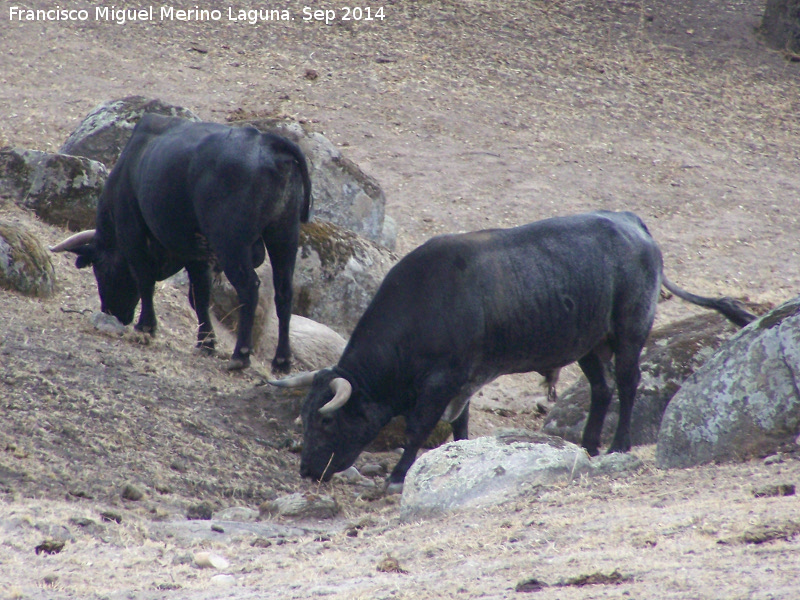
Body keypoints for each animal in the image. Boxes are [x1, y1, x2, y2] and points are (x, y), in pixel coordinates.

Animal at [50, 112, 310, 370]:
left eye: (101, 271)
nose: (110, 312)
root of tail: (268, 141)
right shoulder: (196, 254)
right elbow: (200, 297)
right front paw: (206, 342)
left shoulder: (132, 236)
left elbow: (145, 281)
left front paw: (146, 326)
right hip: (284, 237)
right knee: (284, 293)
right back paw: (282, 360)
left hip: (231, 245)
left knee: (248, 288)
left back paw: (241, 354)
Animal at [272, 211, 752, 492]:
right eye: (305, 417)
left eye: (326, 421)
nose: (308, 470)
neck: (427, 301)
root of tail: (631, 221)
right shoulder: (463, 380)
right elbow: (459, 424)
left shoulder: (443, 380)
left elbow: (419, 427)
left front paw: (396, 477)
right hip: (588, 342)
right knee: (601, 390)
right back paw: (589, 445)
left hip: (630, 331)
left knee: (629, 382)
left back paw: (618, 444)